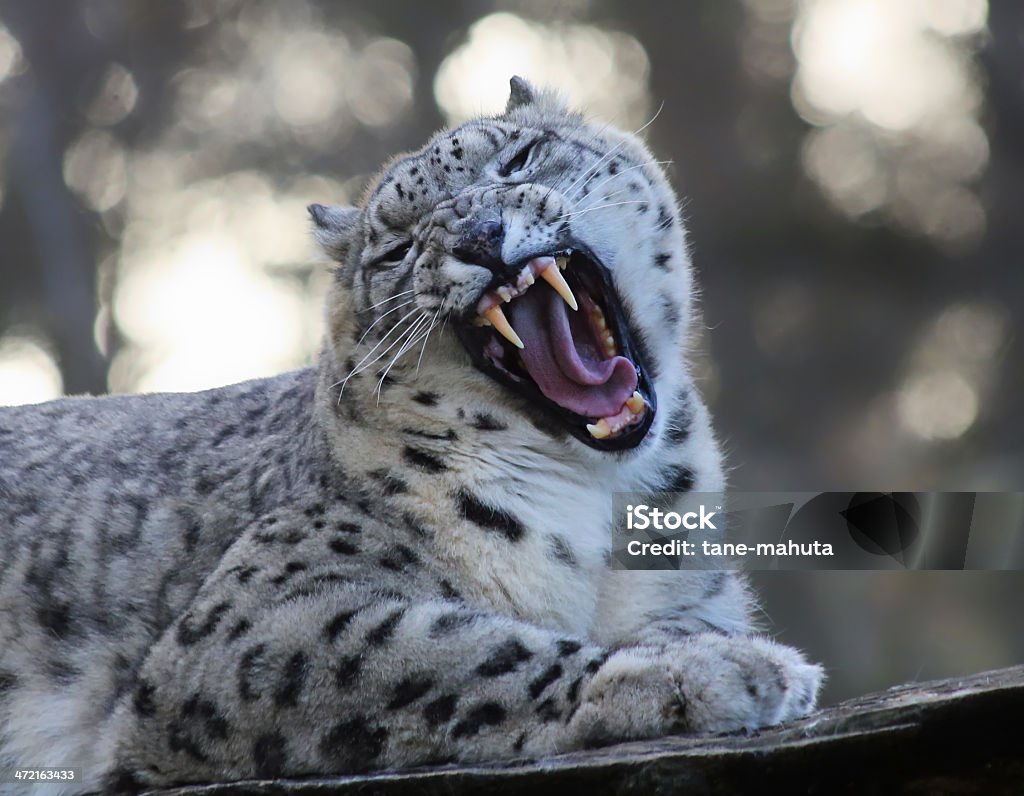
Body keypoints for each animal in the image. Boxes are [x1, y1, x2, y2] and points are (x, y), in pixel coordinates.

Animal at [0, 77, 823, 790]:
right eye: (395, 249)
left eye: (517, 159)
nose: (481, 236)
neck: (604, 502)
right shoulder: (265, 619)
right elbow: (462, 652)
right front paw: (722, 671)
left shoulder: (682, 592)